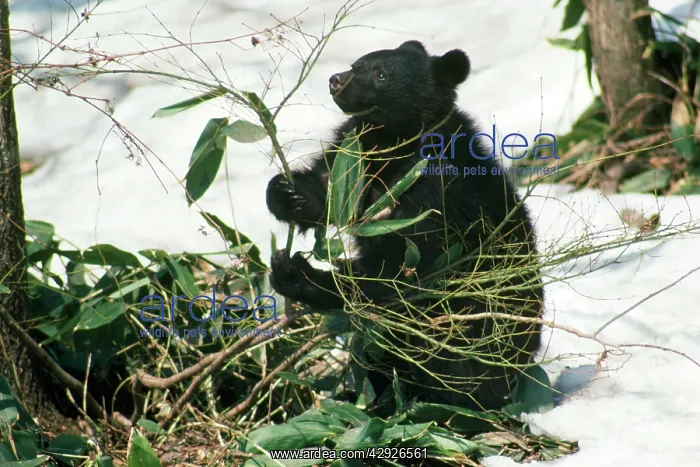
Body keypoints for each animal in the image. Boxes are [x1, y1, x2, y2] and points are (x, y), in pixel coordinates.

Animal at [265, 40, 544, 412]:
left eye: (381, 75)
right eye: (356, 64)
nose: (335, 80)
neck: (393, 141)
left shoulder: (438, 194)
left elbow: (398, 270)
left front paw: (297, 273)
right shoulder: (355, 154)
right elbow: (330, 189)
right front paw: (285, 192)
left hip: (466, 335)